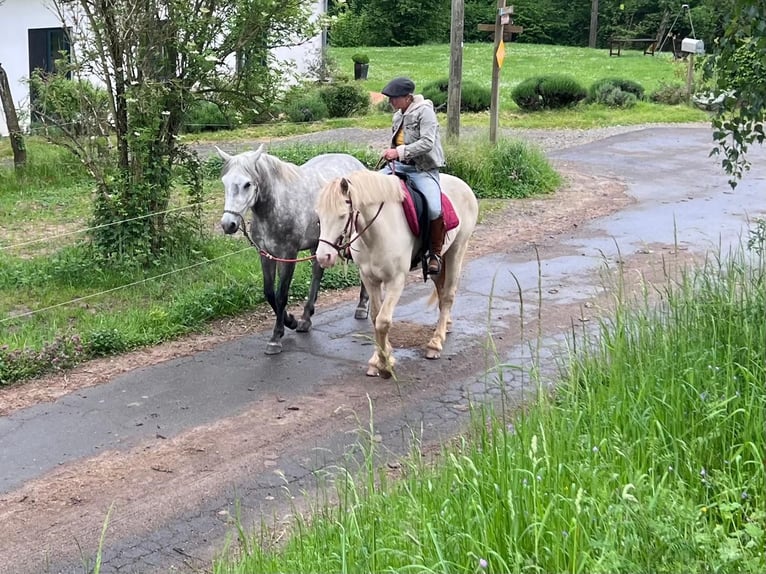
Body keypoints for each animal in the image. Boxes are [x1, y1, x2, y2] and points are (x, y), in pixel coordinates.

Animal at [218, 145, 370, 356]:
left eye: (247, 184)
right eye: (224, 182)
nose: (228, 224)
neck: (276, 204)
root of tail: (358, 165)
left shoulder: (288, 255)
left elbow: (281, 295)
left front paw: (276, 337)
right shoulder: (266, 255)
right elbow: (269, 293)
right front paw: (291, 321)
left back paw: (362, 306)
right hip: (319, 244)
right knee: (317, 273)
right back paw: (306, 318)